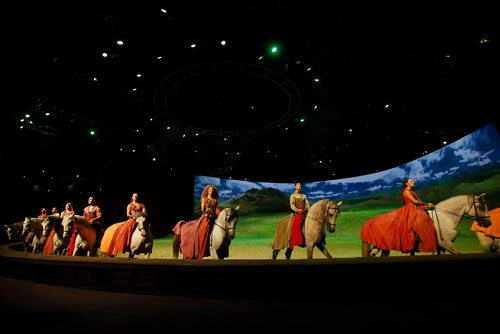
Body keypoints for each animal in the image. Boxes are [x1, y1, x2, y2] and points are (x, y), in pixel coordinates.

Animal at [362, 192, 490, 258]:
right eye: (480, 207)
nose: (489, 223)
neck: (446, 218)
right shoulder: (446, 244)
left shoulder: (441, 247)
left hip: (381, 245)